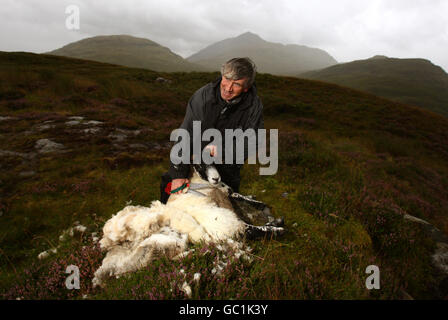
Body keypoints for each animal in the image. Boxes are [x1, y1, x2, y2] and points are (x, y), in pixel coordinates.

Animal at [93, 164, 286, 286]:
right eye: (199, 164)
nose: (216, 178)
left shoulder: (227, 193)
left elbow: (241, 196)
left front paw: (258, 203)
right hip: (226, 222)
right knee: (253, 229)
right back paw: (278, 226)